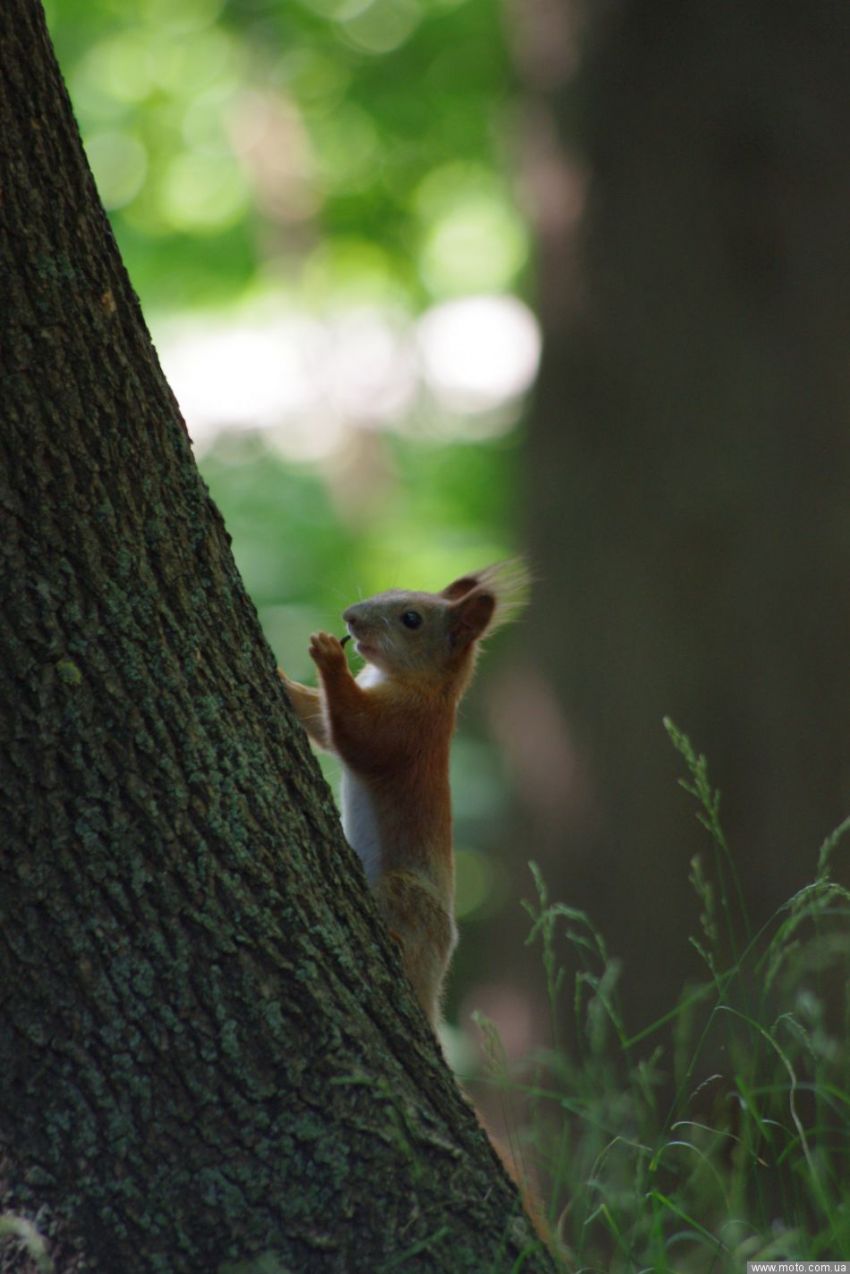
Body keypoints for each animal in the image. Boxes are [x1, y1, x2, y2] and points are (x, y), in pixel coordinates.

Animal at [282, 563, 527, 1029]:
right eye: (391, 589)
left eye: (411, 619)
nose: (349, 617)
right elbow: (320, 722)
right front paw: (282, 679)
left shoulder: (409, 727)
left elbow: (359, 734)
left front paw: (328, 655)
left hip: (407, 894)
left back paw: (396, 942)